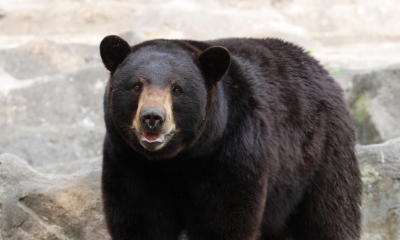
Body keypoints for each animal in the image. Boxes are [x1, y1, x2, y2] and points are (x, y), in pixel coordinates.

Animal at [100, 36, 362, 240]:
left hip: (321, 152)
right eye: (136, 85)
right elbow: (140, 219)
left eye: (177, 89)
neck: (177, 159)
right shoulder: (130, 162)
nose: (152, 117)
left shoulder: (232, 149)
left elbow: (225, 219)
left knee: (331, 213)